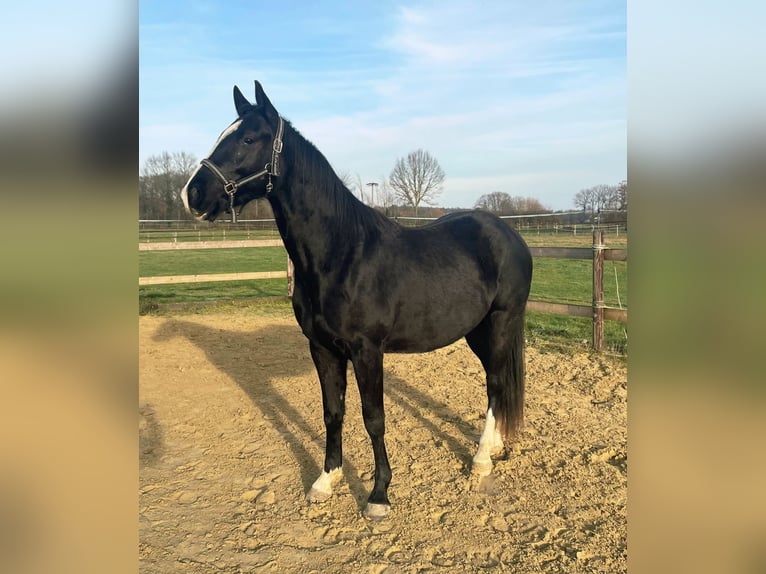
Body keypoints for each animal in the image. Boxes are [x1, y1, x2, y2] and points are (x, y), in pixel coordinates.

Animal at [181, 81, 533, 520]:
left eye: (247, 138)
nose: (191, 194)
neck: (342, 253)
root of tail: (509, 233)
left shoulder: (367, 351)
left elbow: (373, 418)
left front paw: (378, 495)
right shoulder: (322, 349)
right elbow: (333, 413)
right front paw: (325, 480)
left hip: (501, 323)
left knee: (496, 383)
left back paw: (482, 460)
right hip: (477, 331)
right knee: (496, 385)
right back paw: (496, 446)